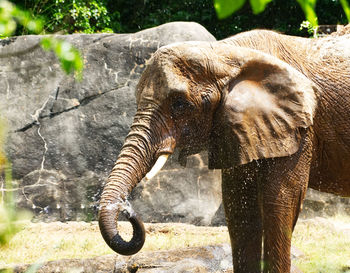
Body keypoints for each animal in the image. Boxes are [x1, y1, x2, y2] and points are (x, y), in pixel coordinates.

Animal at [98, 28, 350, 272]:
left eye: (180, 104)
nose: (128, 211)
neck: (225, 53)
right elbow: (239, 208)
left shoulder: (299, 127)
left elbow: (279, 203)